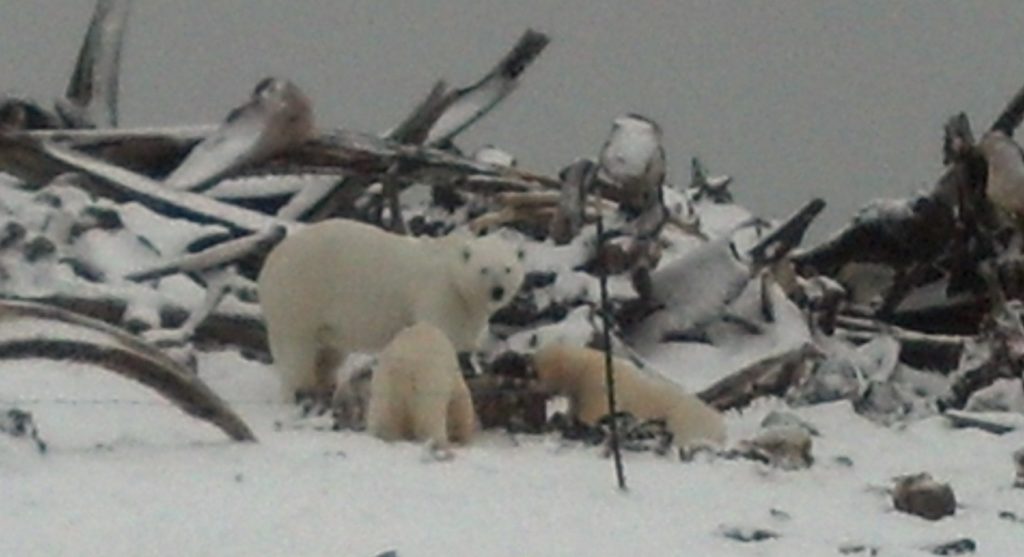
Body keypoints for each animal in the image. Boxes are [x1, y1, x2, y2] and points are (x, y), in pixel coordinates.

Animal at [260, 219, 524, 401]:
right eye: (484, 269)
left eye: (508, 269)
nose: (497, 291)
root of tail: (270, 263)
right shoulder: (438, 295)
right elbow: (438, 334)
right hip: (301, 295)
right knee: (297, 351)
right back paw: (299, 391)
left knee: (329, 352)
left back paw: (327, 385)